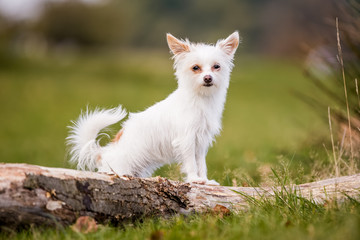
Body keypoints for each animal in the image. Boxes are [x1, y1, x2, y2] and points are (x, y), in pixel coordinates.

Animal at [67, 31, 239, 185]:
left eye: (216, 66)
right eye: (195, 68)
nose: (208, 78)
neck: (201, 99)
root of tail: (102, 154)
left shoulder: (201, 142)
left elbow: (201, 164)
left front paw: (205, 180)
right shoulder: (187, 139)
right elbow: (191, 163)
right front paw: (195, 179)